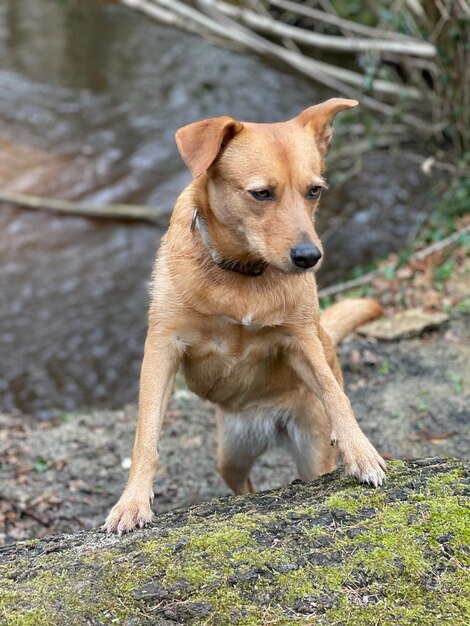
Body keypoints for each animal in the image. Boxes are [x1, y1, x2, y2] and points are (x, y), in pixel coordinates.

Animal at [104, 97, 388, 532]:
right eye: (261, 193)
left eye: (314, 191)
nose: (309, 257)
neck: (241, 273)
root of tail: (270, 426)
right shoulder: (163, 346)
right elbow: (146, 434)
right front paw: (133, 501)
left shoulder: (300, 339)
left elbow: (334, 392)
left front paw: (361, 450)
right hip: (231, 455)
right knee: (245, 486)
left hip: (311, 448)